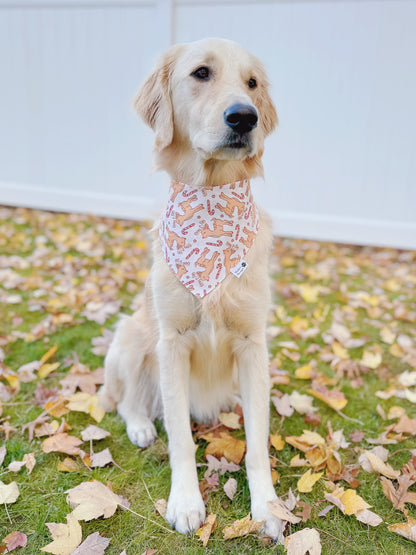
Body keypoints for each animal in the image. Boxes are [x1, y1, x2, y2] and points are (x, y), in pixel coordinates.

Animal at [99, 37, 284, 540]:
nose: (245, 117)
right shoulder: (172, 342)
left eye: (252, 83)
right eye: (201, 73)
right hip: (132, 337)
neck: (211, 204)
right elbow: (180, 436)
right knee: (129, 401)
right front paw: (185, 501)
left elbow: (257, 443)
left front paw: (267, 506)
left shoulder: (252, 344)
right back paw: (141, 426)